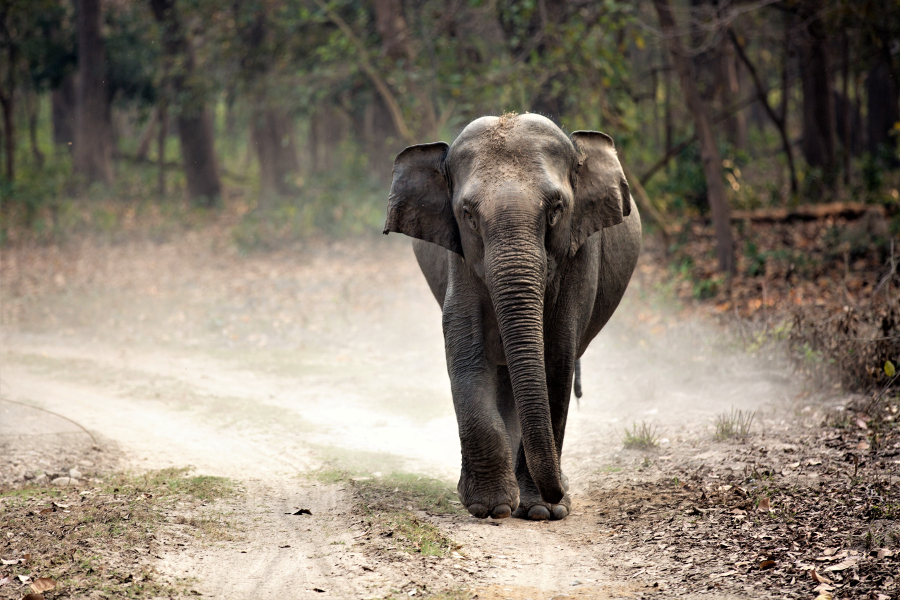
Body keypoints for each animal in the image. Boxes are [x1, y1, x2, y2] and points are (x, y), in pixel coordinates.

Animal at [384, 112, 644, 520]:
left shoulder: (579, 254)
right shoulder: (460, 258)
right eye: (467, 215)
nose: (558, 494)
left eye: (555, 210)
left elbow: (556, 356)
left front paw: (541, 511)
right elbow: (466, 348)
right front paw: (489, 507)